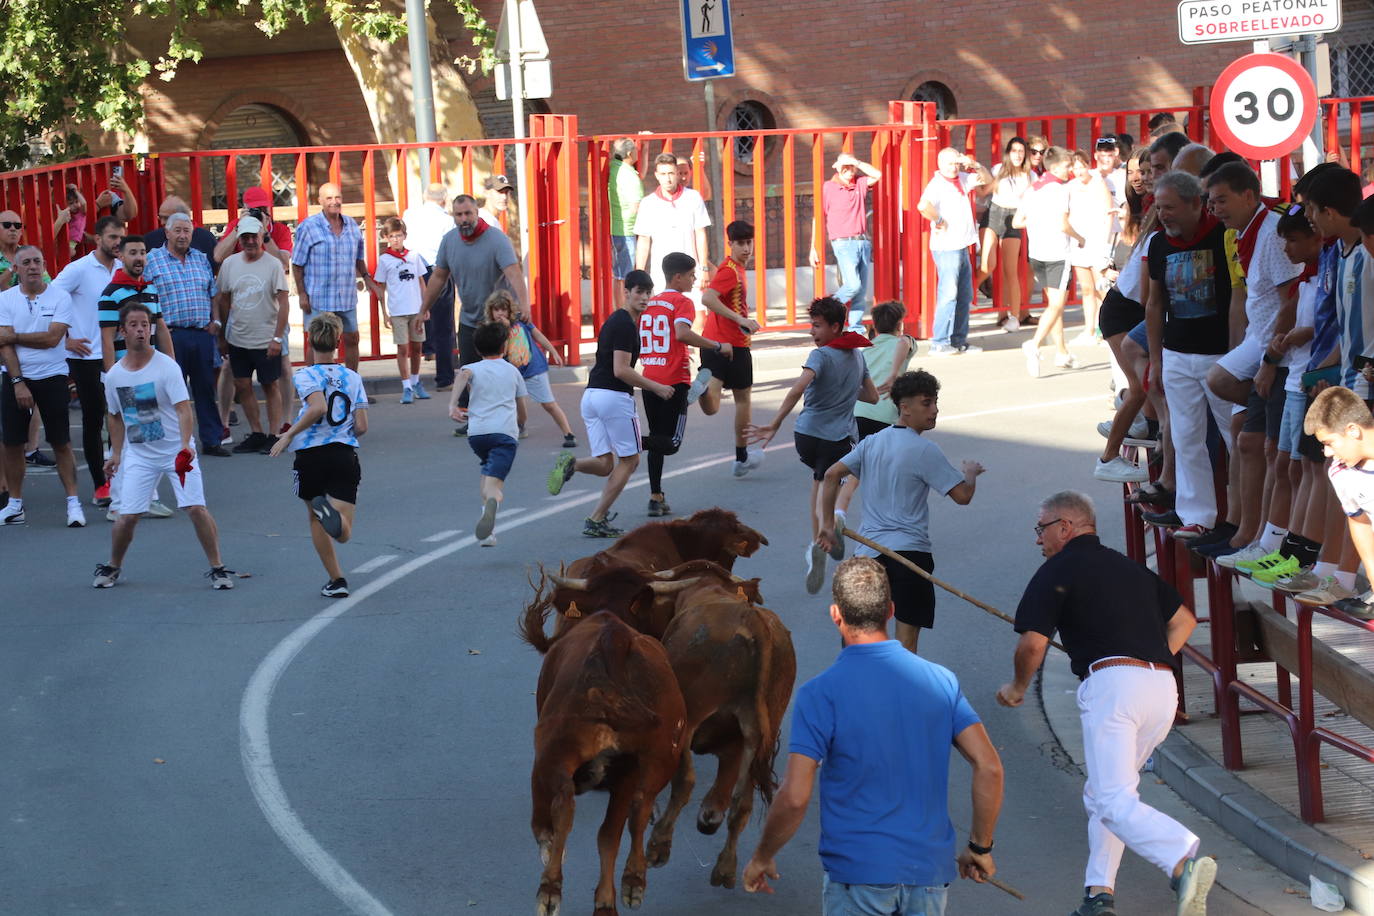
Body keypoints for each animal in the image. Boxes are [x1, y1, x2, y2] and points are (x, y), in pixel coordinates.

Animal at [516, 604, 684, 911]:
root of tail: (614, 636)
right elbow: (609, 834)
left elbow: (544, 824)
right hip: (656, 759)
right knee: (632, 813)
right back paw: (625, 886)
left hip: (555, 752)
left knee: (568, 809)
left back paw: (553, 889)